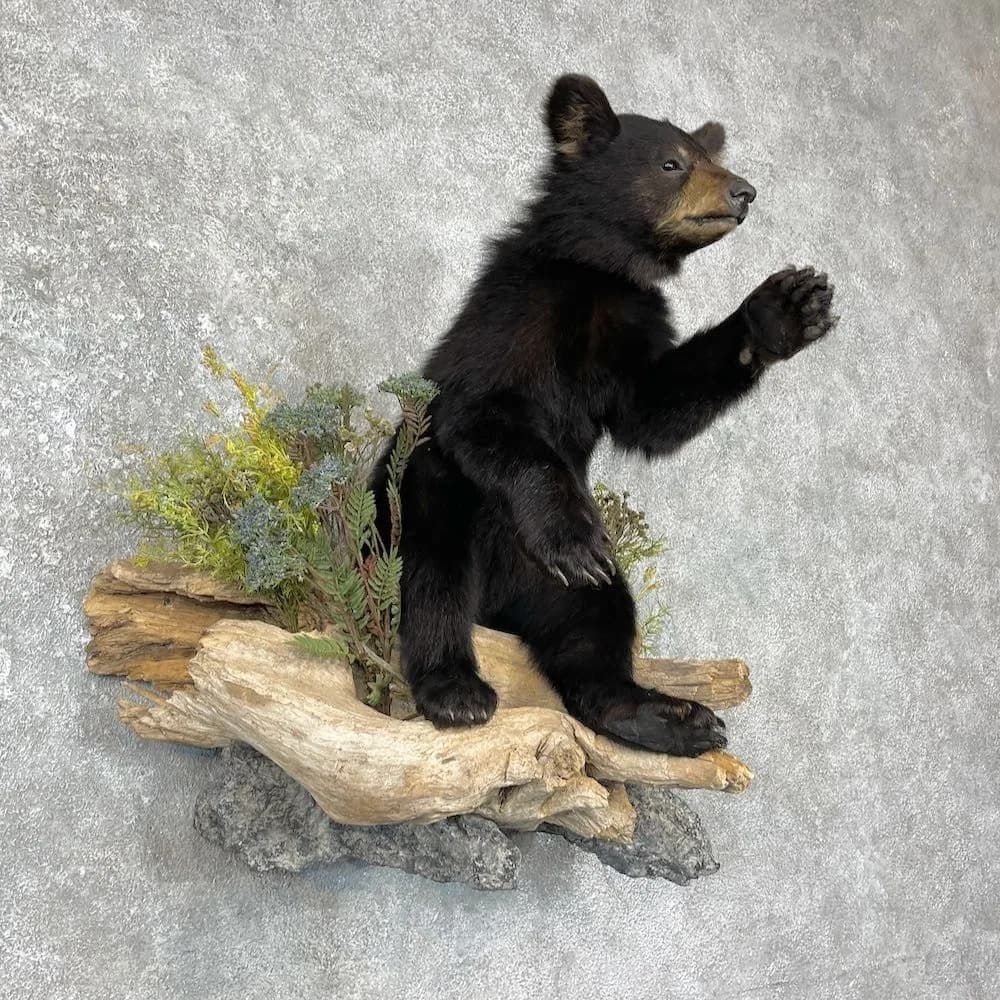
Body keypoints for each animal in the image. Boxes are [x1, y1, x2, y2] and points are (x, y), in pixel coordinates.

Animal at [371, 74, 836, 756]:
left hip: (559, 591)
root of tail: (500, 605)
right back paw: (455, 688)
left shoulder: (632, 332)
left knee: (596, 625)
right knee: (429, 567)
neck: (604, 272)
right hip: (422, 497)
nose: (744, 191)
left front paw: (785, 307)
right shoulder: (518, 312)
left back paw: (670, 716)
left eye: (710, 156)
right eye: (673, 163)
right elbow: (478, 410)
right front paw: (572, 538)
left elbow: (655, 410)